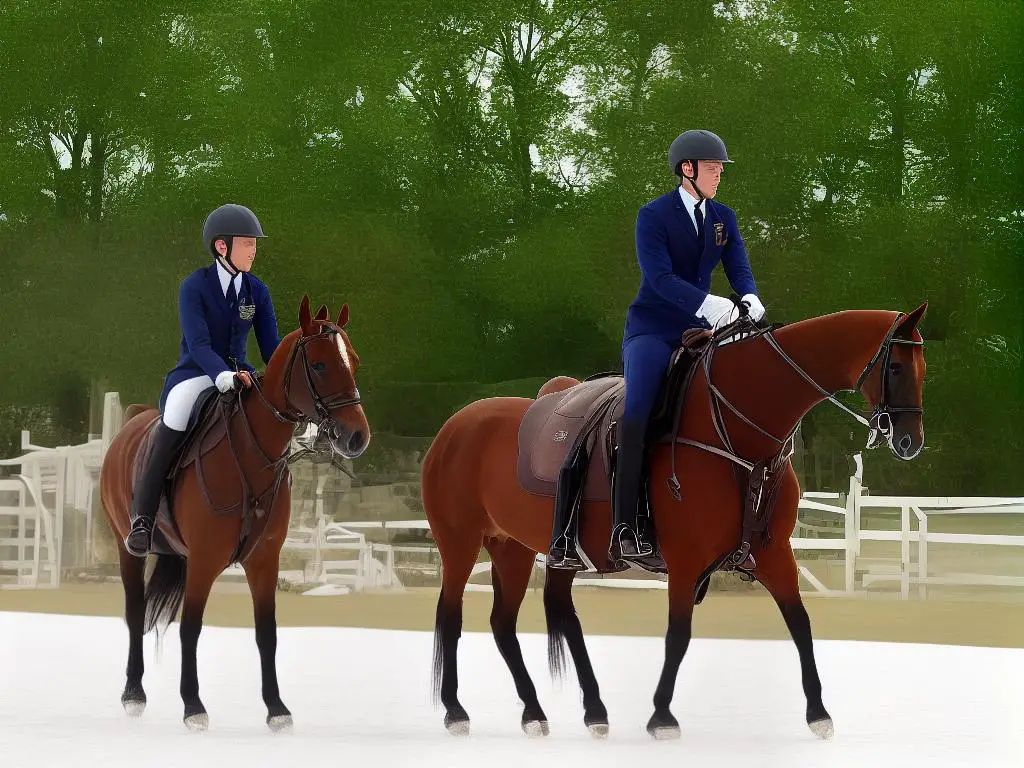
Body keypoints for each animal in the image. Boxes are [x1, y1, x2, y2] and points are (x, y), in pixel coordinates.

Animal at [97, 296, 370, 733]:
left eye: (354, 362)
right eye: (319, 365)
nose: (357, 437)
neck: (251, 450)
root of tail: (132, 420)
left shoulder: (264, 560)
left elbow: (266, 632)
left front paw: (276, 708)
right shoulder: (205, 559)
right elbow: (190, 628)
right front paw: (193, 706)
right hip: (128, 547)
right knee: (135, 612)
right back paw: (133, 694)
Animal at [419, 303, 933, 741]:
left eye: (923, 368)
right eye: (895, 367)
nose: (910, 441)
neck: (736, 428)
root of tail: (455, 425)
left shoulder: (773, 553)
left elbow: (800, 623)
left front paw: (819, 713)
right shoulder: (685, 560)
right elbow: (678, 634)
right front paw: (662, 716)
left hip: (525, 548)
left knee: (518, 622)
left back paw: (558, 712)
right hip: (461, 544)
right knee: (451, 615)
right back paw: (456, 711)